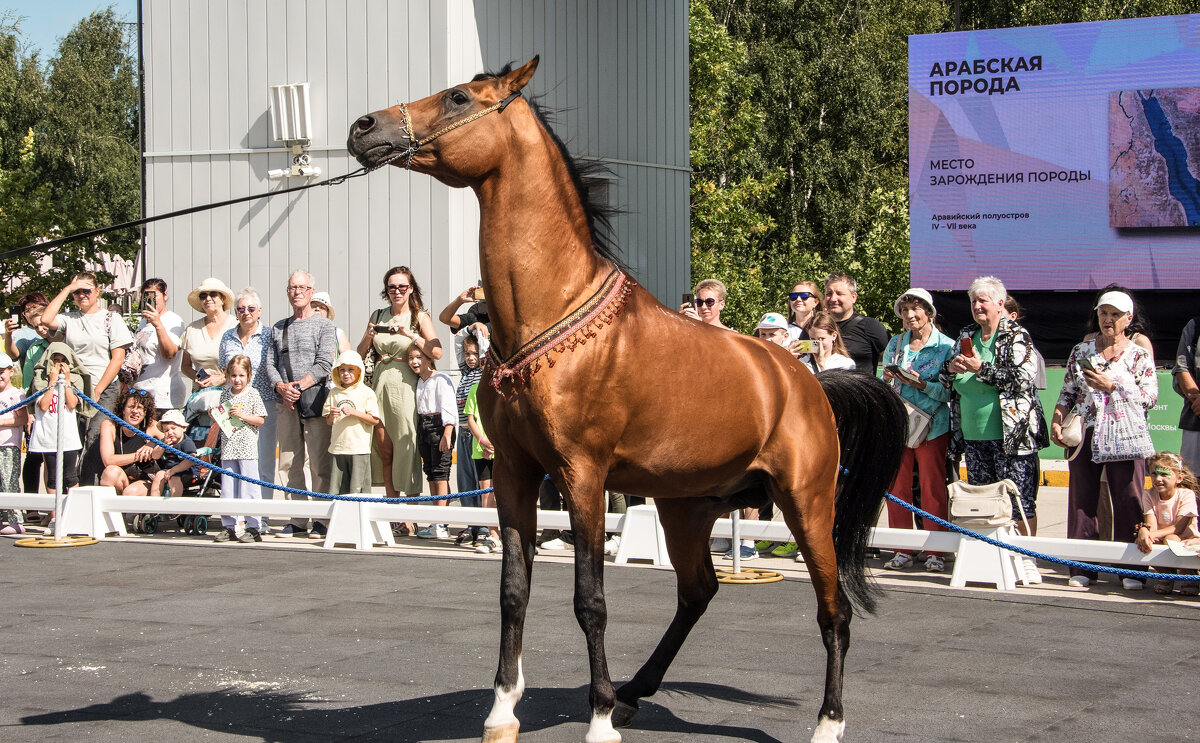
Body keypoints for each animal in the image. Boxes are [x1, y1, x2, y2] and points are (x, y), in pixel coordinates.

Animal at [348, 59, 902, 743]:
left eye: (457, 97)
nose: (364, 127)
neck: (551, 311)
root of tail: (808, 383)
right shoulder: (515, 473)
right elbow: (513, 591)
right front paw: (503, 709)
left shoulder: (582, 476)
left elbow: (590, 600)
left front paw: (598, 718)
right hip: (687, 507)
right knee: (698, 592)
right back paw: (636, 692)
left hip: (808, 504)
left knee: (834, 611)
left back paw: (826, 722)